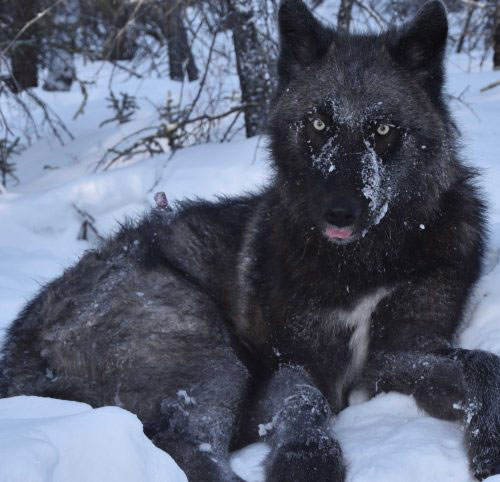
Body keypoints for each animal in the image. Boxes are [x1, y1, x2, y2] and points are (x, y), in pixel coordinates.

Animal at [0, 1, 500, 480]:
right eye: (319, 125)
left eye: (381, 130)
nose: (339, 211)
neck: (362, 262)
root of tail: (17, 351)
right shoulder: (291, 361)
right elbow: (303, 400)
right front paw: (306, 460)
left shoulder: (399, 353)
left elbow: (481, 363)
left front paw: (489, 445)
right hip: (206, 346)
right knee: (187, 444)